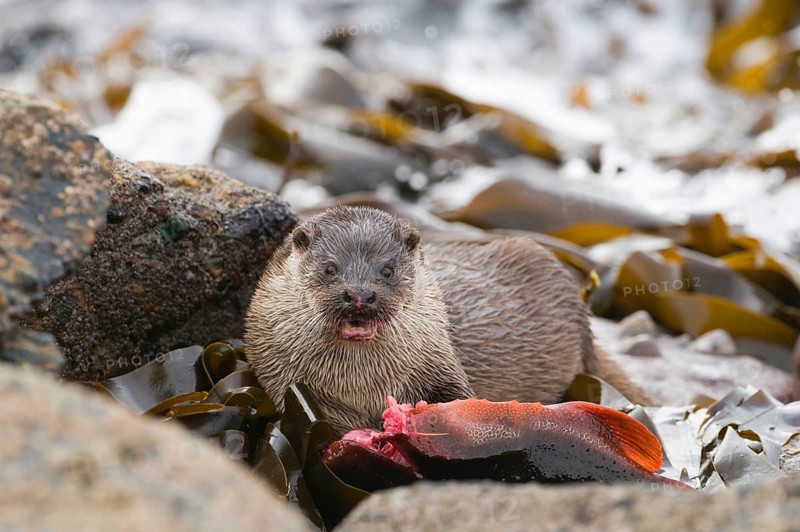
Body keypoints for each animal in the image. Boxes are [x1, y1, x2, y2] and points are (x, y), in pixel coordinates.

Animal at [245, 206, 648, 434]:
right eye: (330, 268)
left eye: (387, 270)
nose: (360, 294)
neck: (361, 385)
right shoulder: (280, 376)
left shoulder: (439, 361)